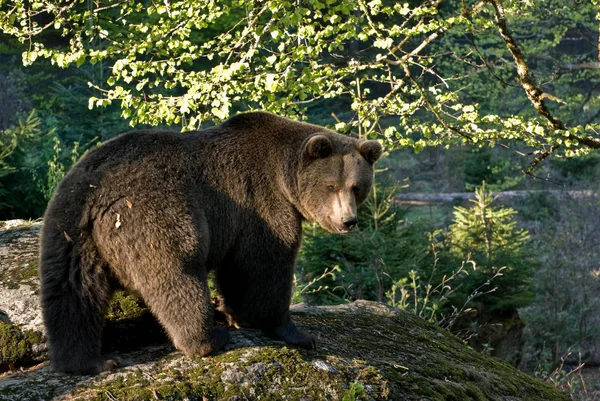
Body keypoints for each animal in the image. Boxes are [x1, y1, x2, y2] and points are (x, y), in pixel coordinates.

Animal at [39, 111, 382, 374]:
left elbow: (237, 271)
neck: (284, 176)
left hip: (70, 230)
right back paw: (207, 339)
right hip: (154, 213)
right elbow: (265, 266)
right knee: (178, 273)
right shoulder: (260, 203)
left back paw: (87, 361)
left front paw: (236, 313)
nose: (347, 221)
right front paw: (294, 331)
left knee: (72, 293)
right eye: (331, 186)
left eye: (357, 187)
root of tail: (96, 192)